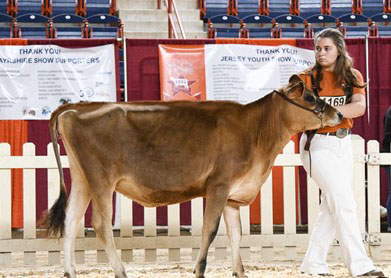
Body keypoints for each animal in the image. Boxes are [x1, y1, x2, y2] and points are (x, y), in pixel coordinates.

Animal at [43, 74, 344, 278]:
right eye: (309, 98)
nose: (339, 113)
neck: (256, 131)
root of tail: (75, 108)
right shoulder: (218, 186)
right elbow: (210, 231)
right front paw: (199, 269)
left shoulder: (233, 197)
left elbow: (236, 234)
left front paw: (240, 272)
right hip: (101, 179)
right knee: (100, 224)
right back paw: (120, 271)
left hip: (81, 178)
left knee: (70, 221)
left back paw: (70, 272)